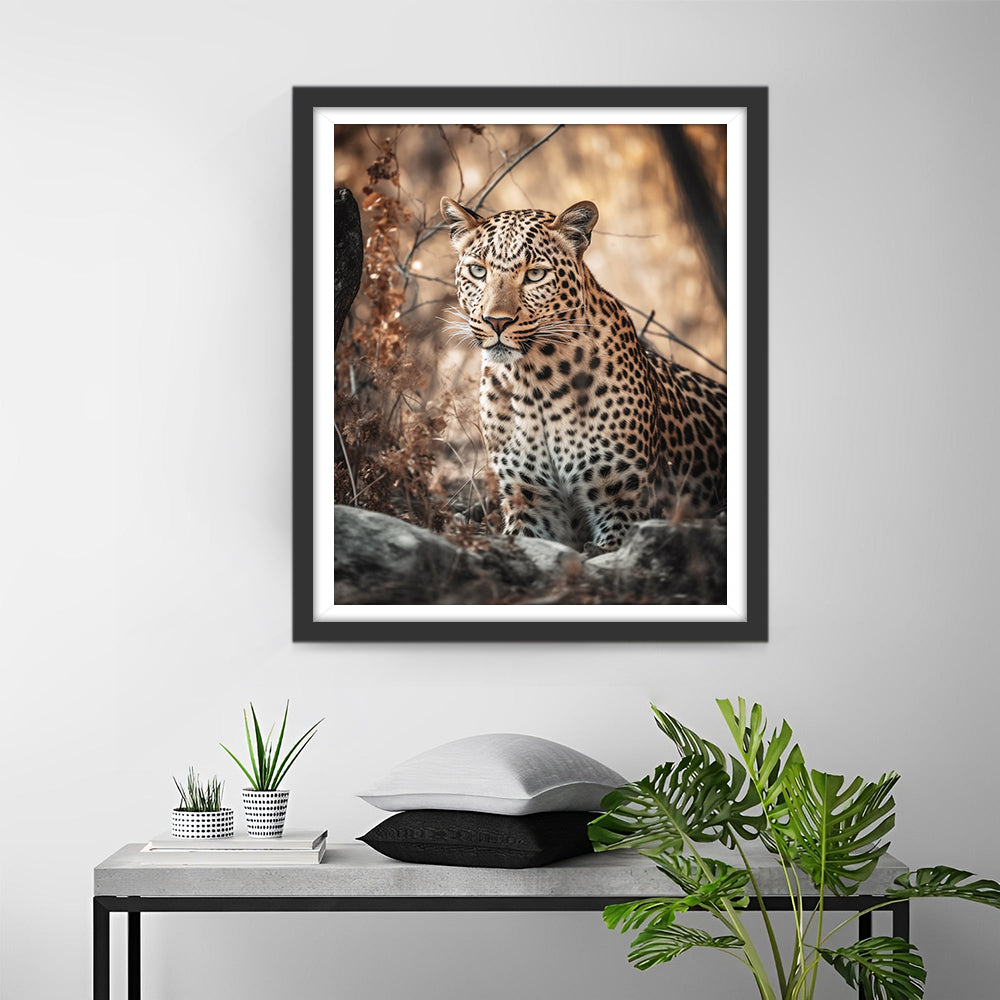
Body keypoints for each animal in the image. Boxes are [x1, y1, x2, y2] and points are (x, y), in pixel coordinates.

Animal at [441, 196, 727, 551]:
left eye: (535, 275)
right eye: (478, 271)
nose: (496, 321)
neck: (534, 380)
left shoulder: (624, 503)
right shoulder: (530, 503)